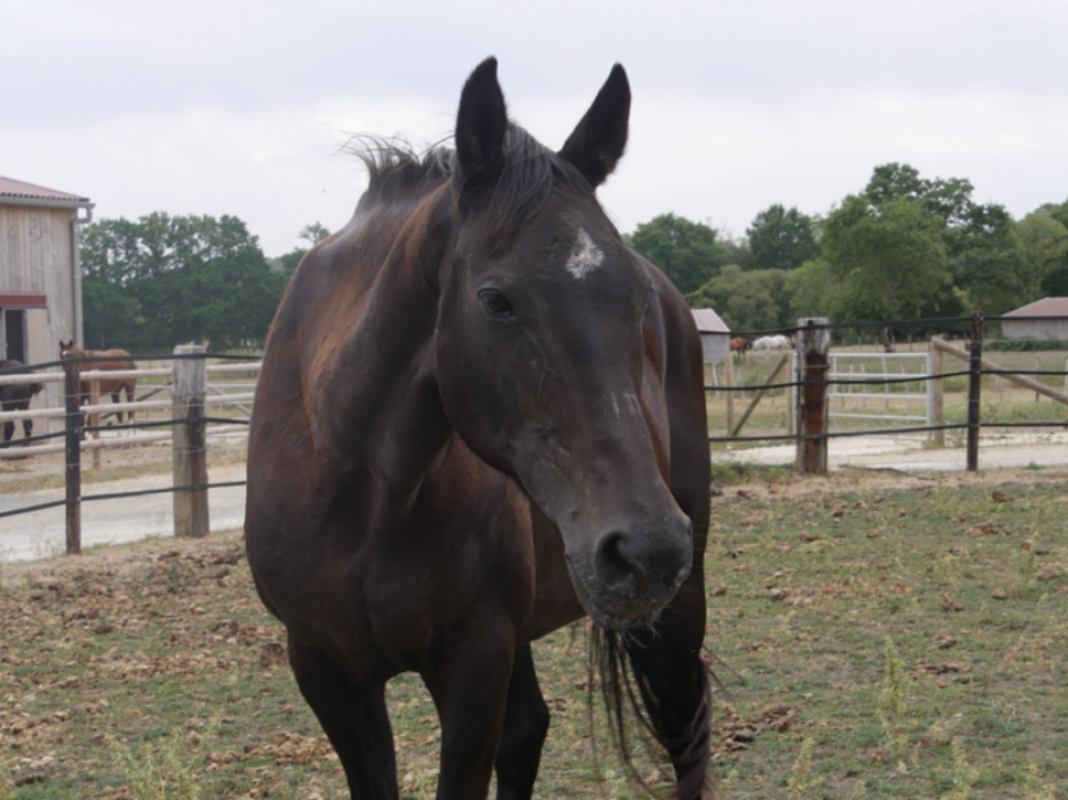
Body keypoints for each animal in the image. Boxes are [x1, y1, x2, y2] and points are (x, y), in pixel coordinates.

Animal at [245, 59, 712, 800]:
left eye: (634, 297)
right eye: (496, 300)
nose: (649, 550)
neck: (364, 491)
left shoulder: (475, 660)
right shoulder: (326, 669)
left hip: (674, 612)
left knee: (685, 727)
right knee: (528, 732)